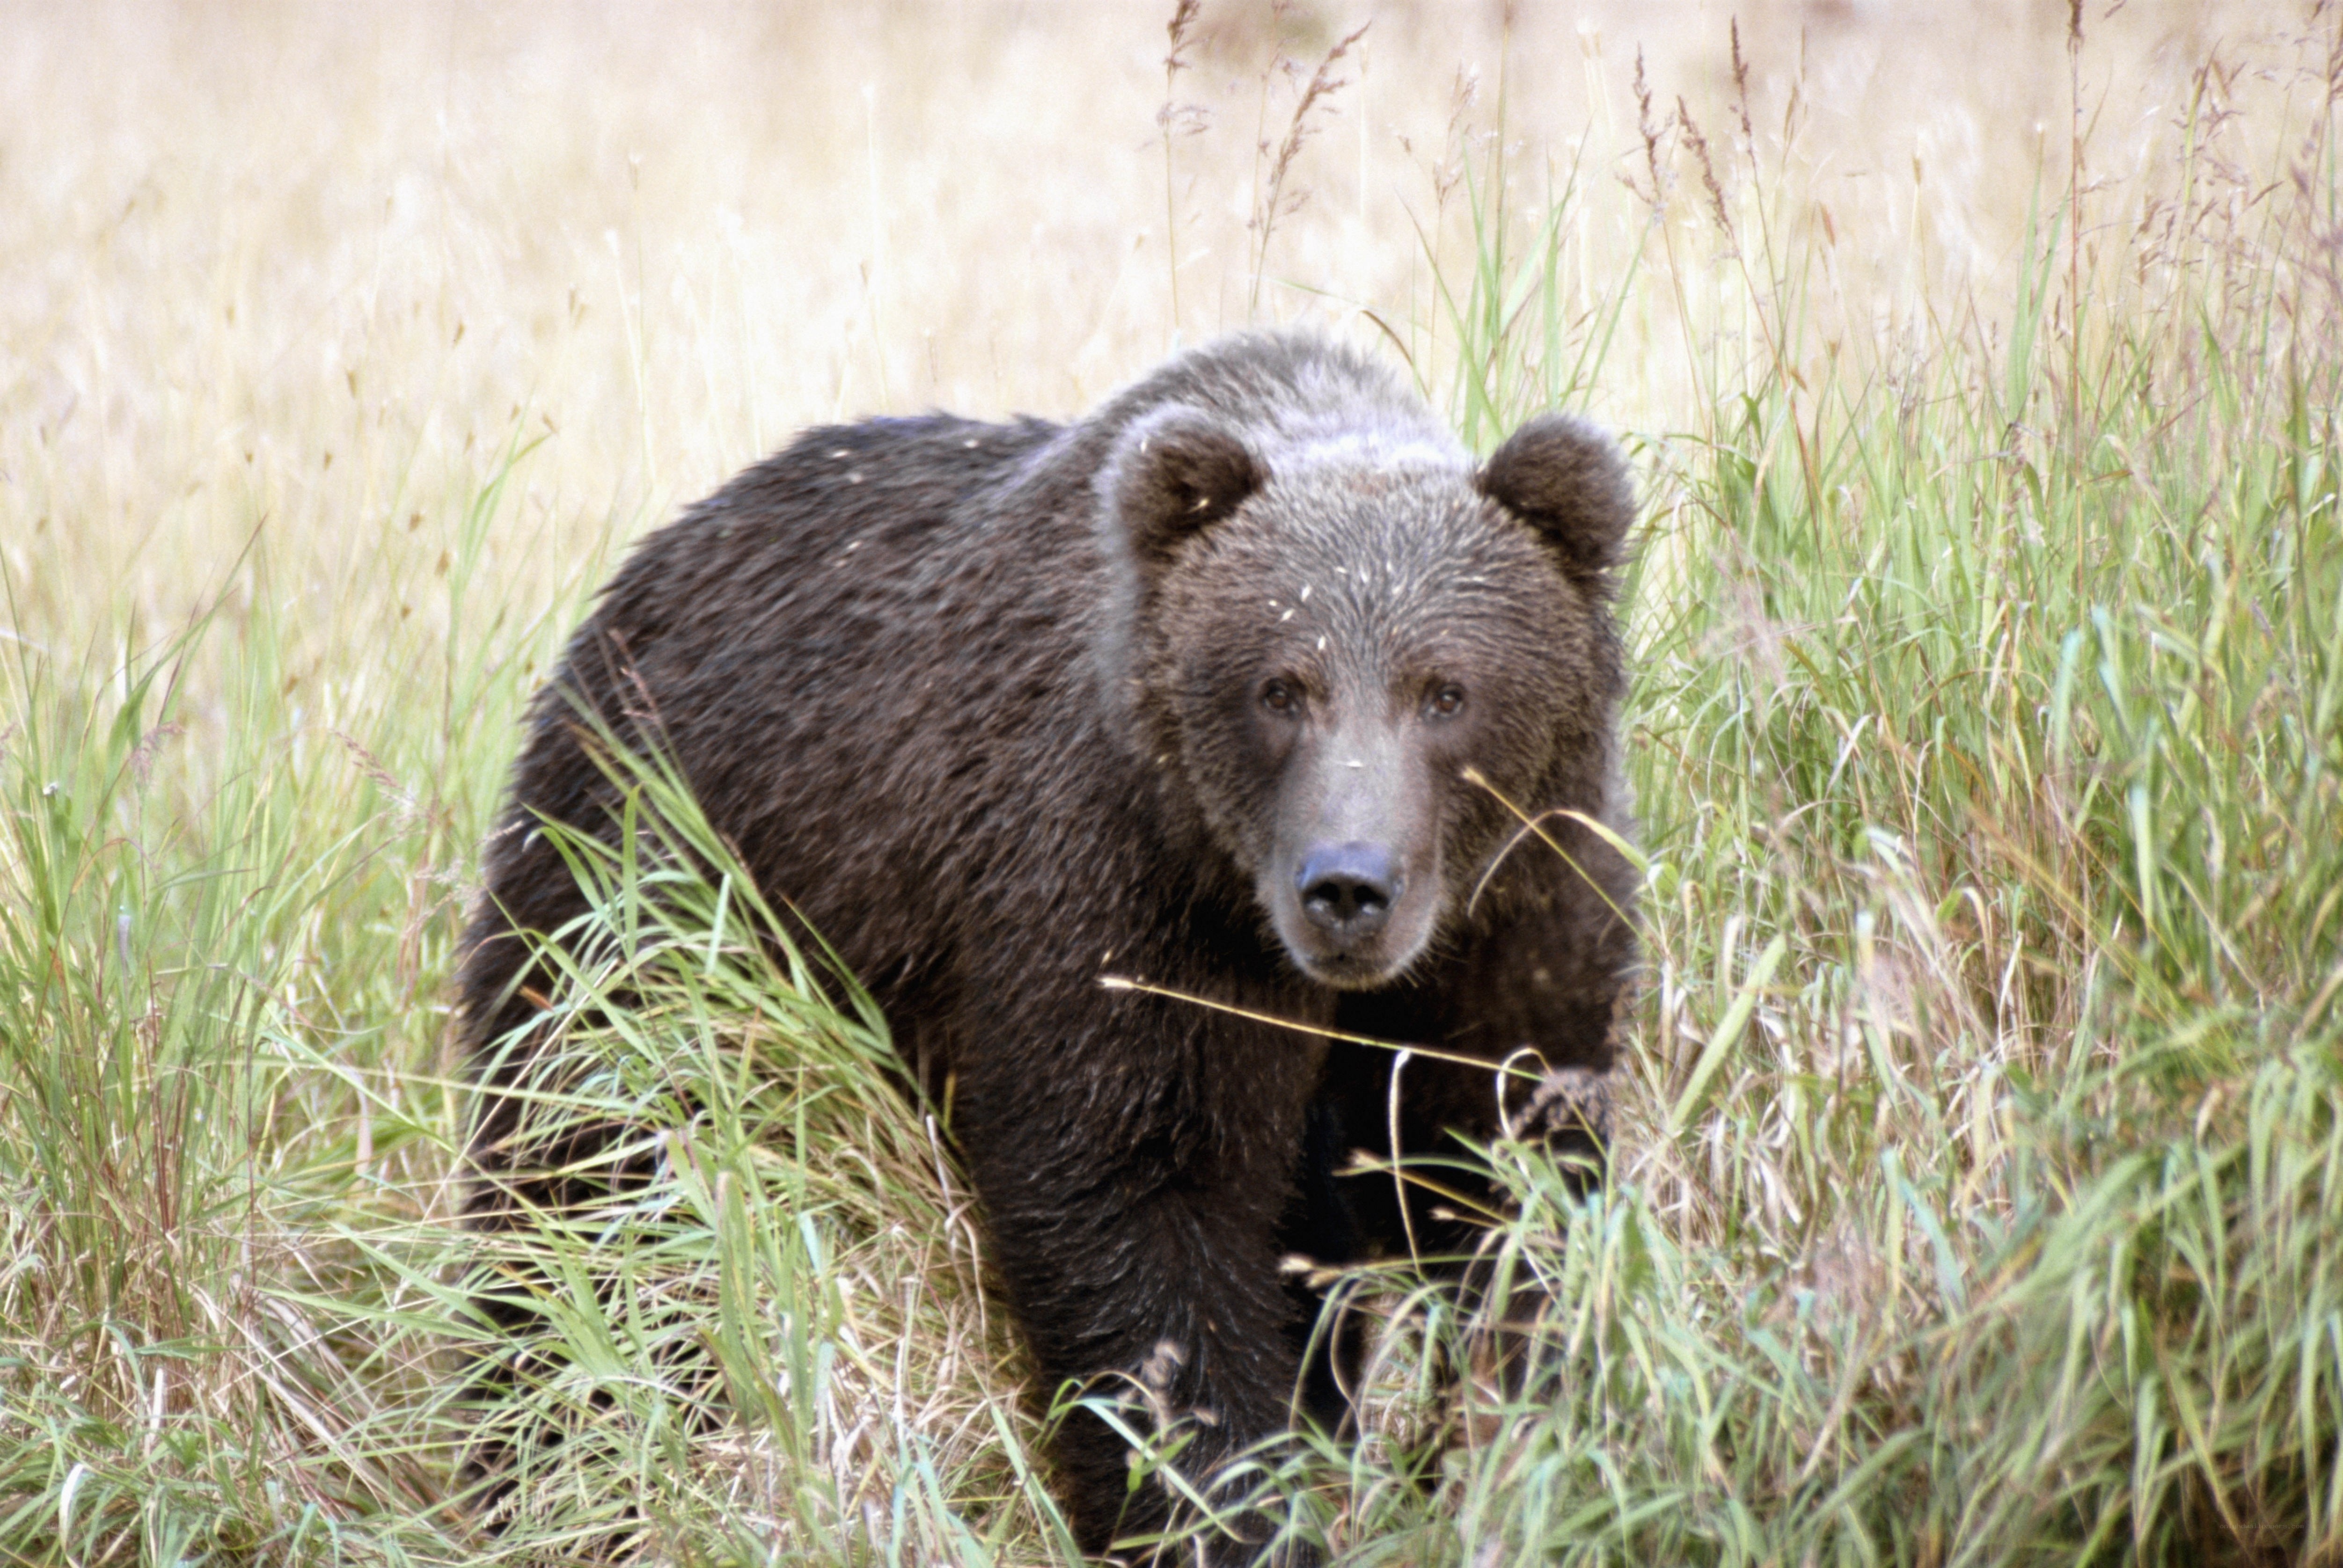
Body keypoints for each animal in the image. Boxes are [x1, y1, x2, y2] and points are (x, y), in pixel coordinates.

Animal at [456, 329, 1638, 1560]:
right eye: (1281, 686)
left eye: (1445, 689)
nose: (1348, 884)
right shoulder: (1121, 895)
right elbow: (1140, 1210)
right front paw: (1220, 1510)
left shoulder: (1515, 912)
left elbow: (1513, 1181)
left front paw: (1524, 1455)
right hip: (647, 894)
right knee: (596, 1190)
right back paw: (547, 1471)